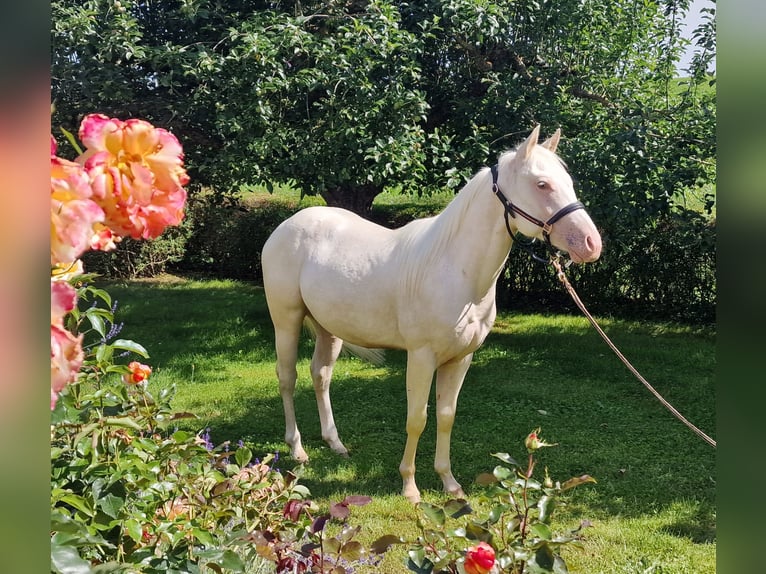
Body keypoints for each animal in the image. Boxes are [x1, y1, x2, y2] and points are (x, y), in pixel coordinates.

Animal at [260, 127, 604, 504]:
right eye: (542, 184)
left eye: (568, 181)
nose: (591, 244)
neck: (455, 268)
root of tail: (285, 226)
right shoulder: (422, 357)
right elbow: (417, 419)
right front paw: (410, 487)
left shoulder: (460, 359)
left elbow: (446, 416)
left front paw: (450, 484)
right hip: (286, 321)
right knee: (287, 377)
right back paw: (297, 449)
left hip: (329, 328)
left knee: (321, 376)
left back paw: (335, 443)